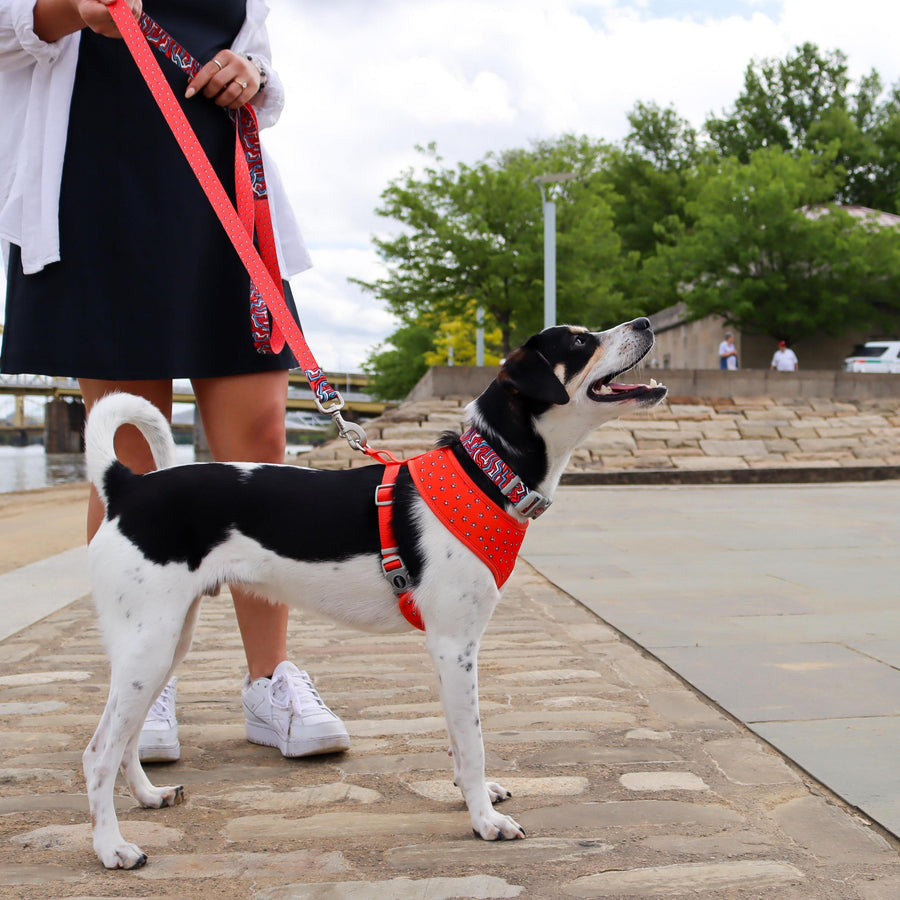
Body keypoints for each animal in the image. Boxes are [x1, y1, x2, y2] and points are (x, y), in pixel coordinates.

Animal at [81, 316, 664, 864]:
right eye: (580, 342)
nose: (645, 323)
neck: (487, 474)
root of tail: (127, 487)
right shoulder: (455, 646)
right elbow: (473, 740)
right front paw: (484, 819)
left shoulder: (451, 653)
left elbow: (458, 740)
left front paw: (468, 794)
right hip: (149, 646)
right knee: (98, 752)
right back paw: (113, 848)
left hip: (167, 642)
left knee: (126, 737)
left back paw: (148, 796)